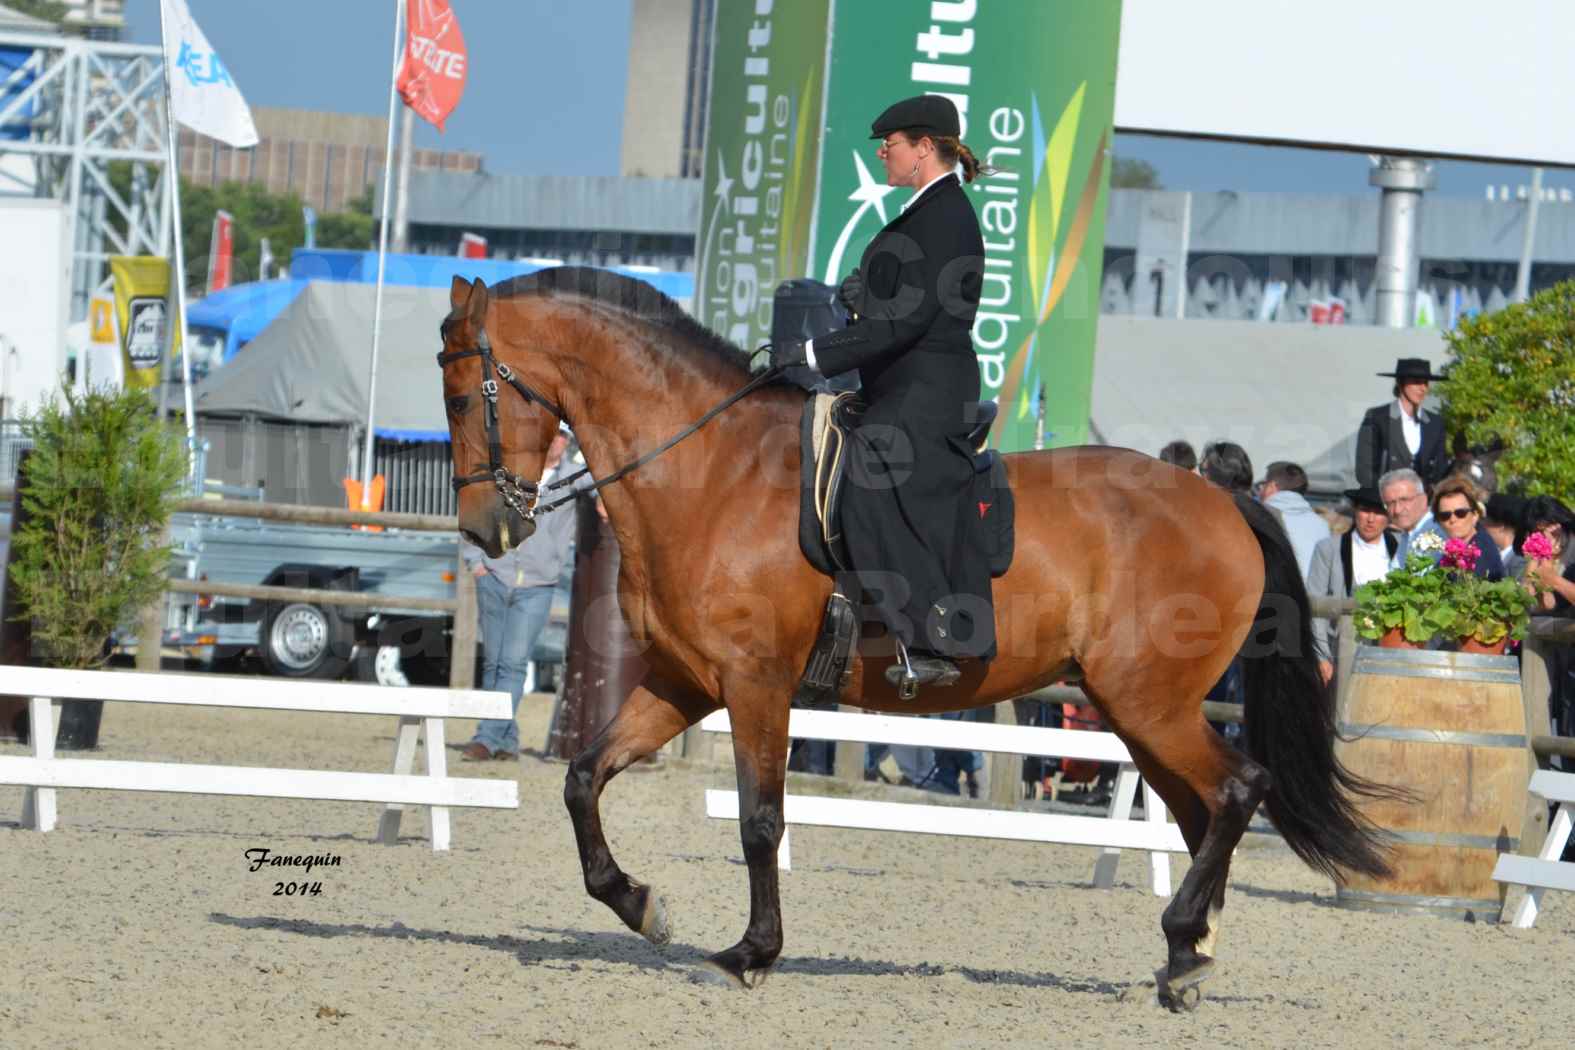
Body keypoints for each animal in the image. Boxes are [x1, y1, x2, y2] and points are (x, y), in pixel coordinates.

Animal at [434, 269, 1392, 1007]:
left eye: (465, 395)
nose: (486, 531)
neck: (710, 472)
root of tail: (1223, 501)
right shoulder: (683, 682)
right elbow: (582, 778)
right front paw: (638, 905)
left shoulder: (754, 687)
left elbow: (759, 820)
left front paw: (751, 953)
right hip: (1137, 710)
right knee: (1205, 810)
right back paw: (1186, 961)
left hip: (1148, 701)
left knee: (1238, 789)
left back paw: (1185, 940)